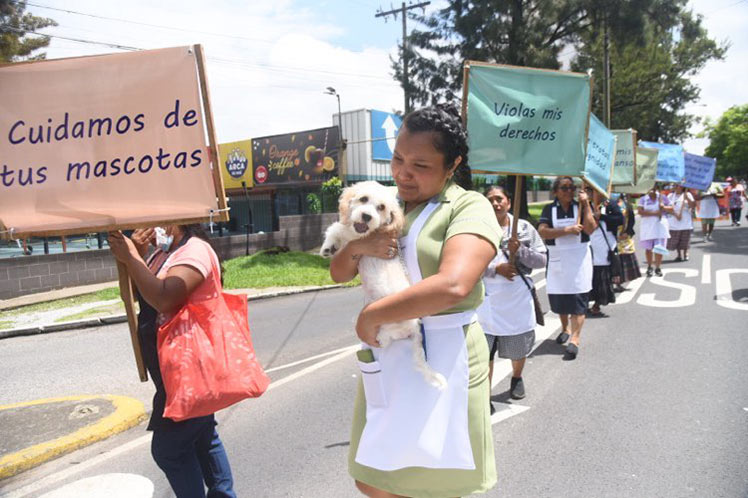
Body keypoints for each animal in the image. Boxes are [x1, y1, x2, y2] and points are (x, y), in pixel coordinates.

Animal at [320, 181, 444, 392]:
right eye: (363, 199)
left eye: (382, 207)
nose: (367, 216)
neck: (364, 234)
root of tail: (415, 328)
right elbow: (337, 227)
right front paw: (329, 246)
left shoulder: (353, 236)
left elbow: (339, 228)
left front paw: (331, 244)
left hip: (388, 326)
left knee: (386, 339)